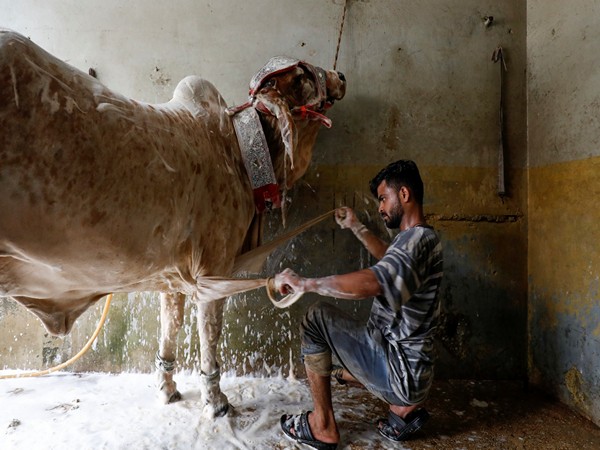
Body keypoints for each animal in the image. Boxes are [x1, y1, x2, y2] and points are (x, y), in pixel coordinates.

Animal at [0, 27, 346, 414]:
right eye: (302, 76)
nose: (341, 77)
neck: (239, 155)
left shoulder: (172, 276)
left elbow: (170, 329)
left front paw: (167, 388)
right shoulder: (212, 271)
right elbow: (209, 337)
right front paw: (215, 401)